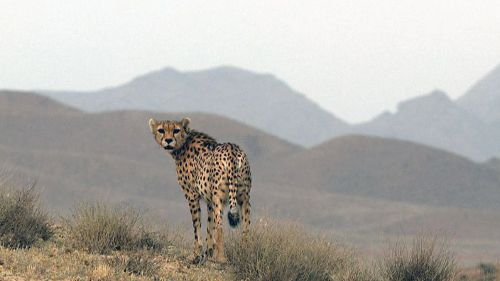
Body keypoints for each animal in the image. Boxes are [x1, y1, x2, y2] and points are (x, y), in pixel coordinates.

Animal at [147, 116, 250, 262]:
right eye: (161, 130)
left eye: (176, 130)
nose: (168, 140)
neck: (183, 143)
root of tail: (232, 149)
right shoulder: (209, 200)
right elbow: (209, 226)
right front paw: (208, 252)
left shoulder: (192, 195)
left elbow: (197, 226)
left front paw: (197, 252)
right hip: (243, 197)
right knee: (246, 229)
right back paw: (245, 254)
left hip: (219, 198)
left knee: (220, 228)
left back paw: (221, 258)